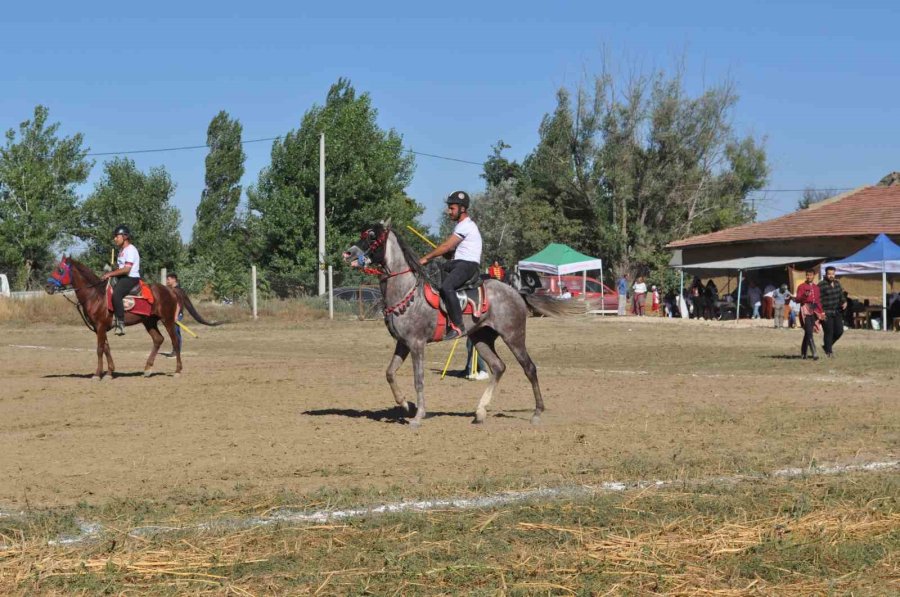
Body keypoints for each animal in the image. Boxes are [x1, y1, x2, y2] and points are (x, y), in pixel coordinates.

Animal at [47, 255, 216, 378]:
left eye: (60, 270)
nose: (48, 286)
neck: (95, 295)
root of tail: (171, 290)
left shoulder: (100, 326)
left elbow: (100, 349)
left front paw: (97, 374)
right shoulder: (99, 328)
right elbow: (107, 348)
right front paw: (109, 372)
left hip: (168, 320)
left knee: (175, 341)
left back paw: (177, 371)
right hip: (149, 321)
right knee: (158, 339)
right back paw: (147, 369)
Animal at [344, 219, 576, 428]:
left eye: (372, 236)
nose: (348, 253)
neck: (406, 292)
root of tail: (516, 292)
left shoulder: (417, 344)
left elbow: (418, 379)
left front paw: (418, 416)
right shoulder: (403, 343)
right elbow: (390, 373)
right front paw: (406, 405)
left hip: (514, 336)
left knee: (529, 368)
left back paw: (536, 413)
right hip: (481, 338)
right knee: (498, 367)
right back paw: (480, 412)